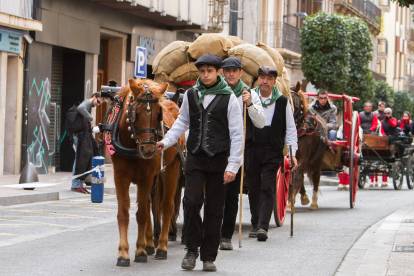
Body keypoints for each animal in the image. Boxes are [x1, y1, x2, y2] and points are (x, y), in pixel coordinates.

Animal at [111, 77, 186, 266]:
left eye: (159, 113)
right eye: (135, 112)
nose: (149, 150)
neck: (132, 145)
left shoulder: (145, 178)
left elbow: (142, 214)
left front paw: (140, 251)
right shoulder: (120, 177)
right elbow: (124, 213)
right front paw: (123, 253)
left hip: (172, 168)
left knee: (167, 205)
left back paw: (161, 247)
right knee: (152, 204)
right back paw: (151, 243)